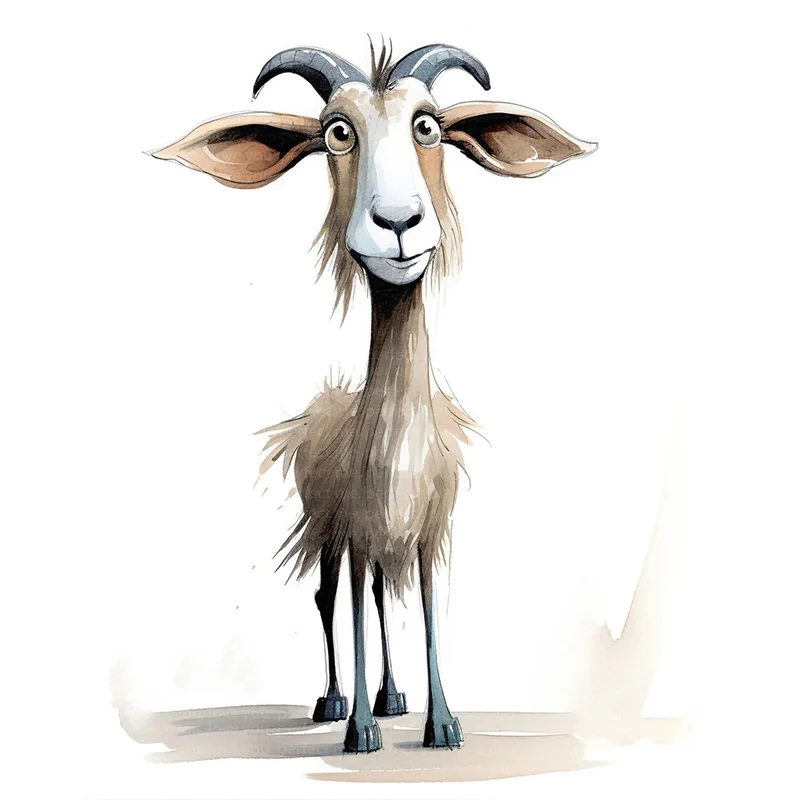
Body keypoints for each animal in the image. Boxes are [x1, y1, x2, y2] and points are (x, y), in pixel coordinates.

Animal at [150, 42, 596, 753]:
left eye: (428, 125)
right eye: (337, 131)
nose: (398, 224)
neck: (399, 458)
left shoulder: (427, 531)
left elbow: (425, 604)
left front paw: (442, 722)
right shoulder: (356, 529)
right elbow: (355, 607)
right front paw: (359, 728)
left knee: (386, 594)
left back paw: (393, 697)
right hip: (328, 530)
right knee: (331, 598)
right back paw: (336, 702)